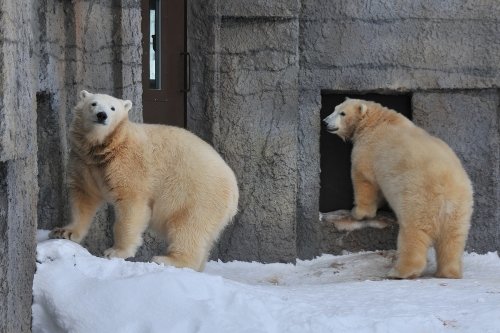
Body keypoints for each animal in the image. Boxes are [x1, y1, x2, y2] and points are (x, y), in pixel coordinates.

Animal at [50, 90, 238, 270]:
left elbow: (131, 205)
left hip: (199, 195)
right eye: (93, 103)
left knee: (189, 228)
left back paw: (167, 259)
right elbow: (84, 197)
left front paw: (116, 251)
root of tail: (234, 192)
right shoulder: (84, 161)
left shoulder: (129, 164)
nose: (102, 115)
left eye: (113, 108)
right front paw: (65, 232)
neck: (106, 147)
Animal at [324, 98, 472, 278]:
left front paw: (358, 213)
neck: (376, 120)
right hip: (460, 210)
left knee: (413, 234)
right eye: (334, 108)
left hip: (418, 201)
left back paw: (399, 272)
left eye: (342, 113)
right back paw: (449, 272)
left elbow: (364, 180)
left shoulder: (368, 149)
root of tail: (446, 193)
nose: (325, 122)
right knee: (453, 240)